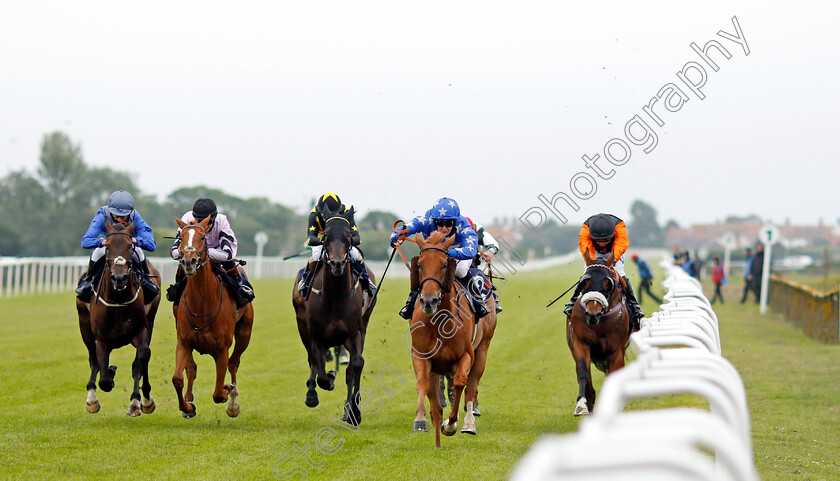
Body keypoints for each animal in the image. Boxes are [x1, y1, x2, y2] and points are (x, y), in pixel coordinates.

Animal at [76, 219, 162, 414]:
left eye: (130, 245)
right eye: (107, 246)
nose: (119, 278)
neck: (118, 299)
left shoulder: (141, 330)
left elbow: (142, 357)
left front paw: (137, 401)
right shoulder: (101, 339)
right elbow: (104, 379)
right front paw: (109, 373)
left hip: (151, 320)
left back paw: (146, 399)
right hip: (84, 325)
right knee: (92, 357)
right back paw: (92, 397)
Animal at [169, 216, 251, 418]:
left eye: (203, 238)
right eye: (180, 238)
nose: (189, 261)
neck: (202, 306)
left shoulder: (222, 348)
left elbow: (218, 393)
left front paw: (228, 391)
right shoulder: (184, 341)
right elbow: (178, 378)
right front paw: (187, 406)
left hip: (244, 333)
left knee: (234, 363)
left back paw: (233, 403)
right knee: (191, 369)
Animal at [294, 205, 376, 424]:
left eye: (348, 234)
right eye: (326, 235)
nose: (337, 263)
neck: (335, 296)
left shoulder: (355, 333)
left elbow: (356, 365)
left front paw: (354, 411)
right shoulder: (317, 336)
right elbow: (320, 372)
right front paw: (323, 384)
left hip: (364, 323)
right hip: (302, 326)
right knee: (312, 360)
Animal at [406, 231, 496, 448]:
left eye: (444, 264)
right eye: (419, 264)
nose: (428, 301)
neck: (440, 321)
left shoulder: (465, 355)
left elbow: (460, 382)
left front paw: (450, 424)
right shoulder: (421, 355)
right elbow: (423, 384)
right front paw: (420, 420)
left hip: (483, 348)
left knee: (471, 387)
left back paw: (469, 424)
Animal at [564, 251, 632, 416]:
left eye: (608, 283)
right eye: (584, 282)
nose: (592, 314)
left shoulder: (616, 352)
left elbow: (612, 378)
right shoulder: (581, 344)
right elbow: (583, 374)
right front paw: (581, 405)